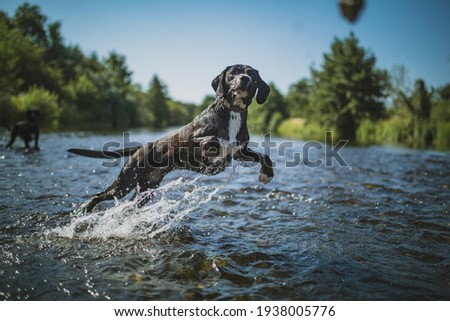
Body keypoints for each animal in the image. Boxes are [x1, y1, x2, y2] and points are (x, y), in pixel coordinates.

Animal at [69, 63, 274, 211]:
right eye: (233, 73)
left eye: (252, 74)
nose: (244, 78)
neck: (233, 113)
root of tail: (140, 148)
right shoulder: (195, 141)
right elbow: (212, 140)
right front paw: (215, 155)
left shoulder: (240, 151)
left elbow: (264, 156)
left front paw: (267, 174)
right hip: (124, 183)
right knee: (99, 196)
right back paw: (86, 211)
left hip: (146, 189)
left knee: (130, 203)